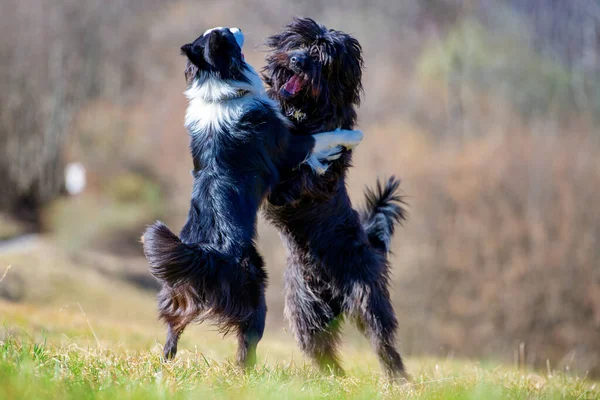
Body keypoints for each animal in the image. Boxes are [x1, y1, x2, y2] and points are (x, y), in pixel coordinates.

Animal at [142, 26, 364, 368]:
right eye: (225, 34)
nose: (236, 28)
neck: (217, 88)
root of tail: (208, 255)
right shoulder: (289, 146)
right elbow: (323, 137)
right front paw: (353, 135)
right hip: (254, 290)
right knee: (247, 343)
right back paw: (250, 372)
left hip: (177, 293)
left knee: (172, 329)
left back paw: (166, 363)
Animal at [262, 17, 408, 378]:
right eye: (299, 45)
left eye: (322, 57)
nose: (297, 60)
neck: (303, 113)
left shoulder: (325, 175)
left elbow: (308, 175)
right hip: (304, 313)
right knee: (322, 350)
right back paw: (334, 379)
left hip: (366, 294)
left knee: (383, 341)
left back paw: (398, 379)